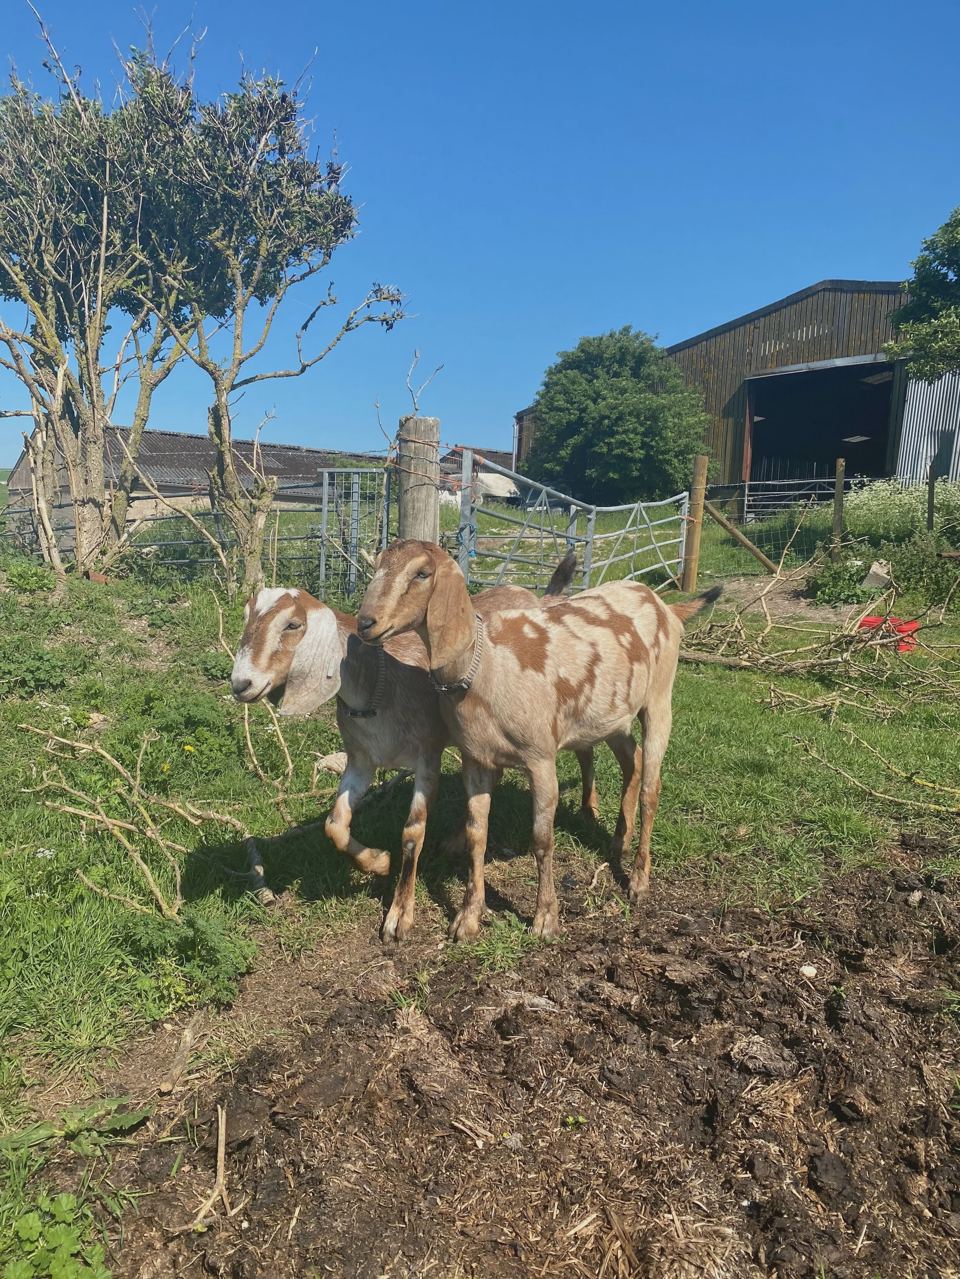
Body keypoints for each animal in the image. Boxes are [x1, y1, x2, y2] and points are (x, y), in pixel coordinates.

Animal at [230, 553, 584, 942]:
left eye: (292, 624)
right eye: (246, 617)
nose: (241, 684)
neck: (376, 686)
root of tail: (532, 595)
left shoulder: (427, 757)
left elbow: (412, 832)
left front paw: (399, 916)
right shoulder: (361, 760)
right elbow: (334, 824)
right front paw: (378, 862)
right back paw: (456, 838)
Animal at [357, 540, 721, 941]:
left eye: (422, 573)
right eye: (377, 564)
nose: (366, 622)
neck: (487, 668)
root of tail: (665, 605)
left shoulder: (540, 755)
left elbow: (542, 839)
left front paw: (545, 918)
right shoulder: (476, 758)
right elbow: (477, 835)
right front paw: (468, 918)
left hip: (659, 698)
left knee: (651, 788)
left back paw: (639, 880)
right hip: (612, 715)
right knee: (633, 759)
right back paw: (617, 842)